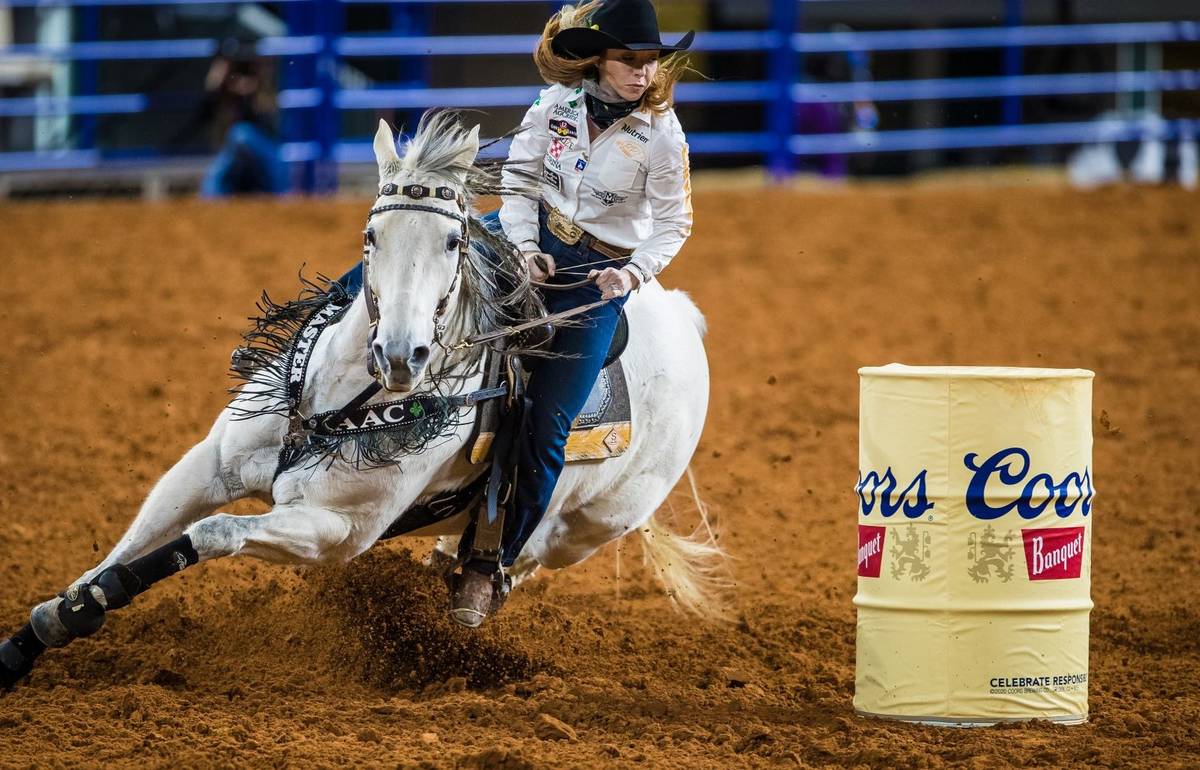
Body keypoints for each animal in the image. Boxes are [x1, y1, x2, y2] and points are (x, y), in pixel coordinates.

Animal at [0, 110, 715, 686]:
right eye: (371, 238)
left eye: (453, 241)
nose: (401, 356)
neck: (337, 403)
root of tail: (682, 315)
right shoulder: (210, 464)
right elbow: (130, 544)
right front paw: (42, 630)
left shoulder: (335, 532)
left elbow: (207, 534)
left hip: (589, 526)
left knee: (528, 550)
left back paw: (474, 582)